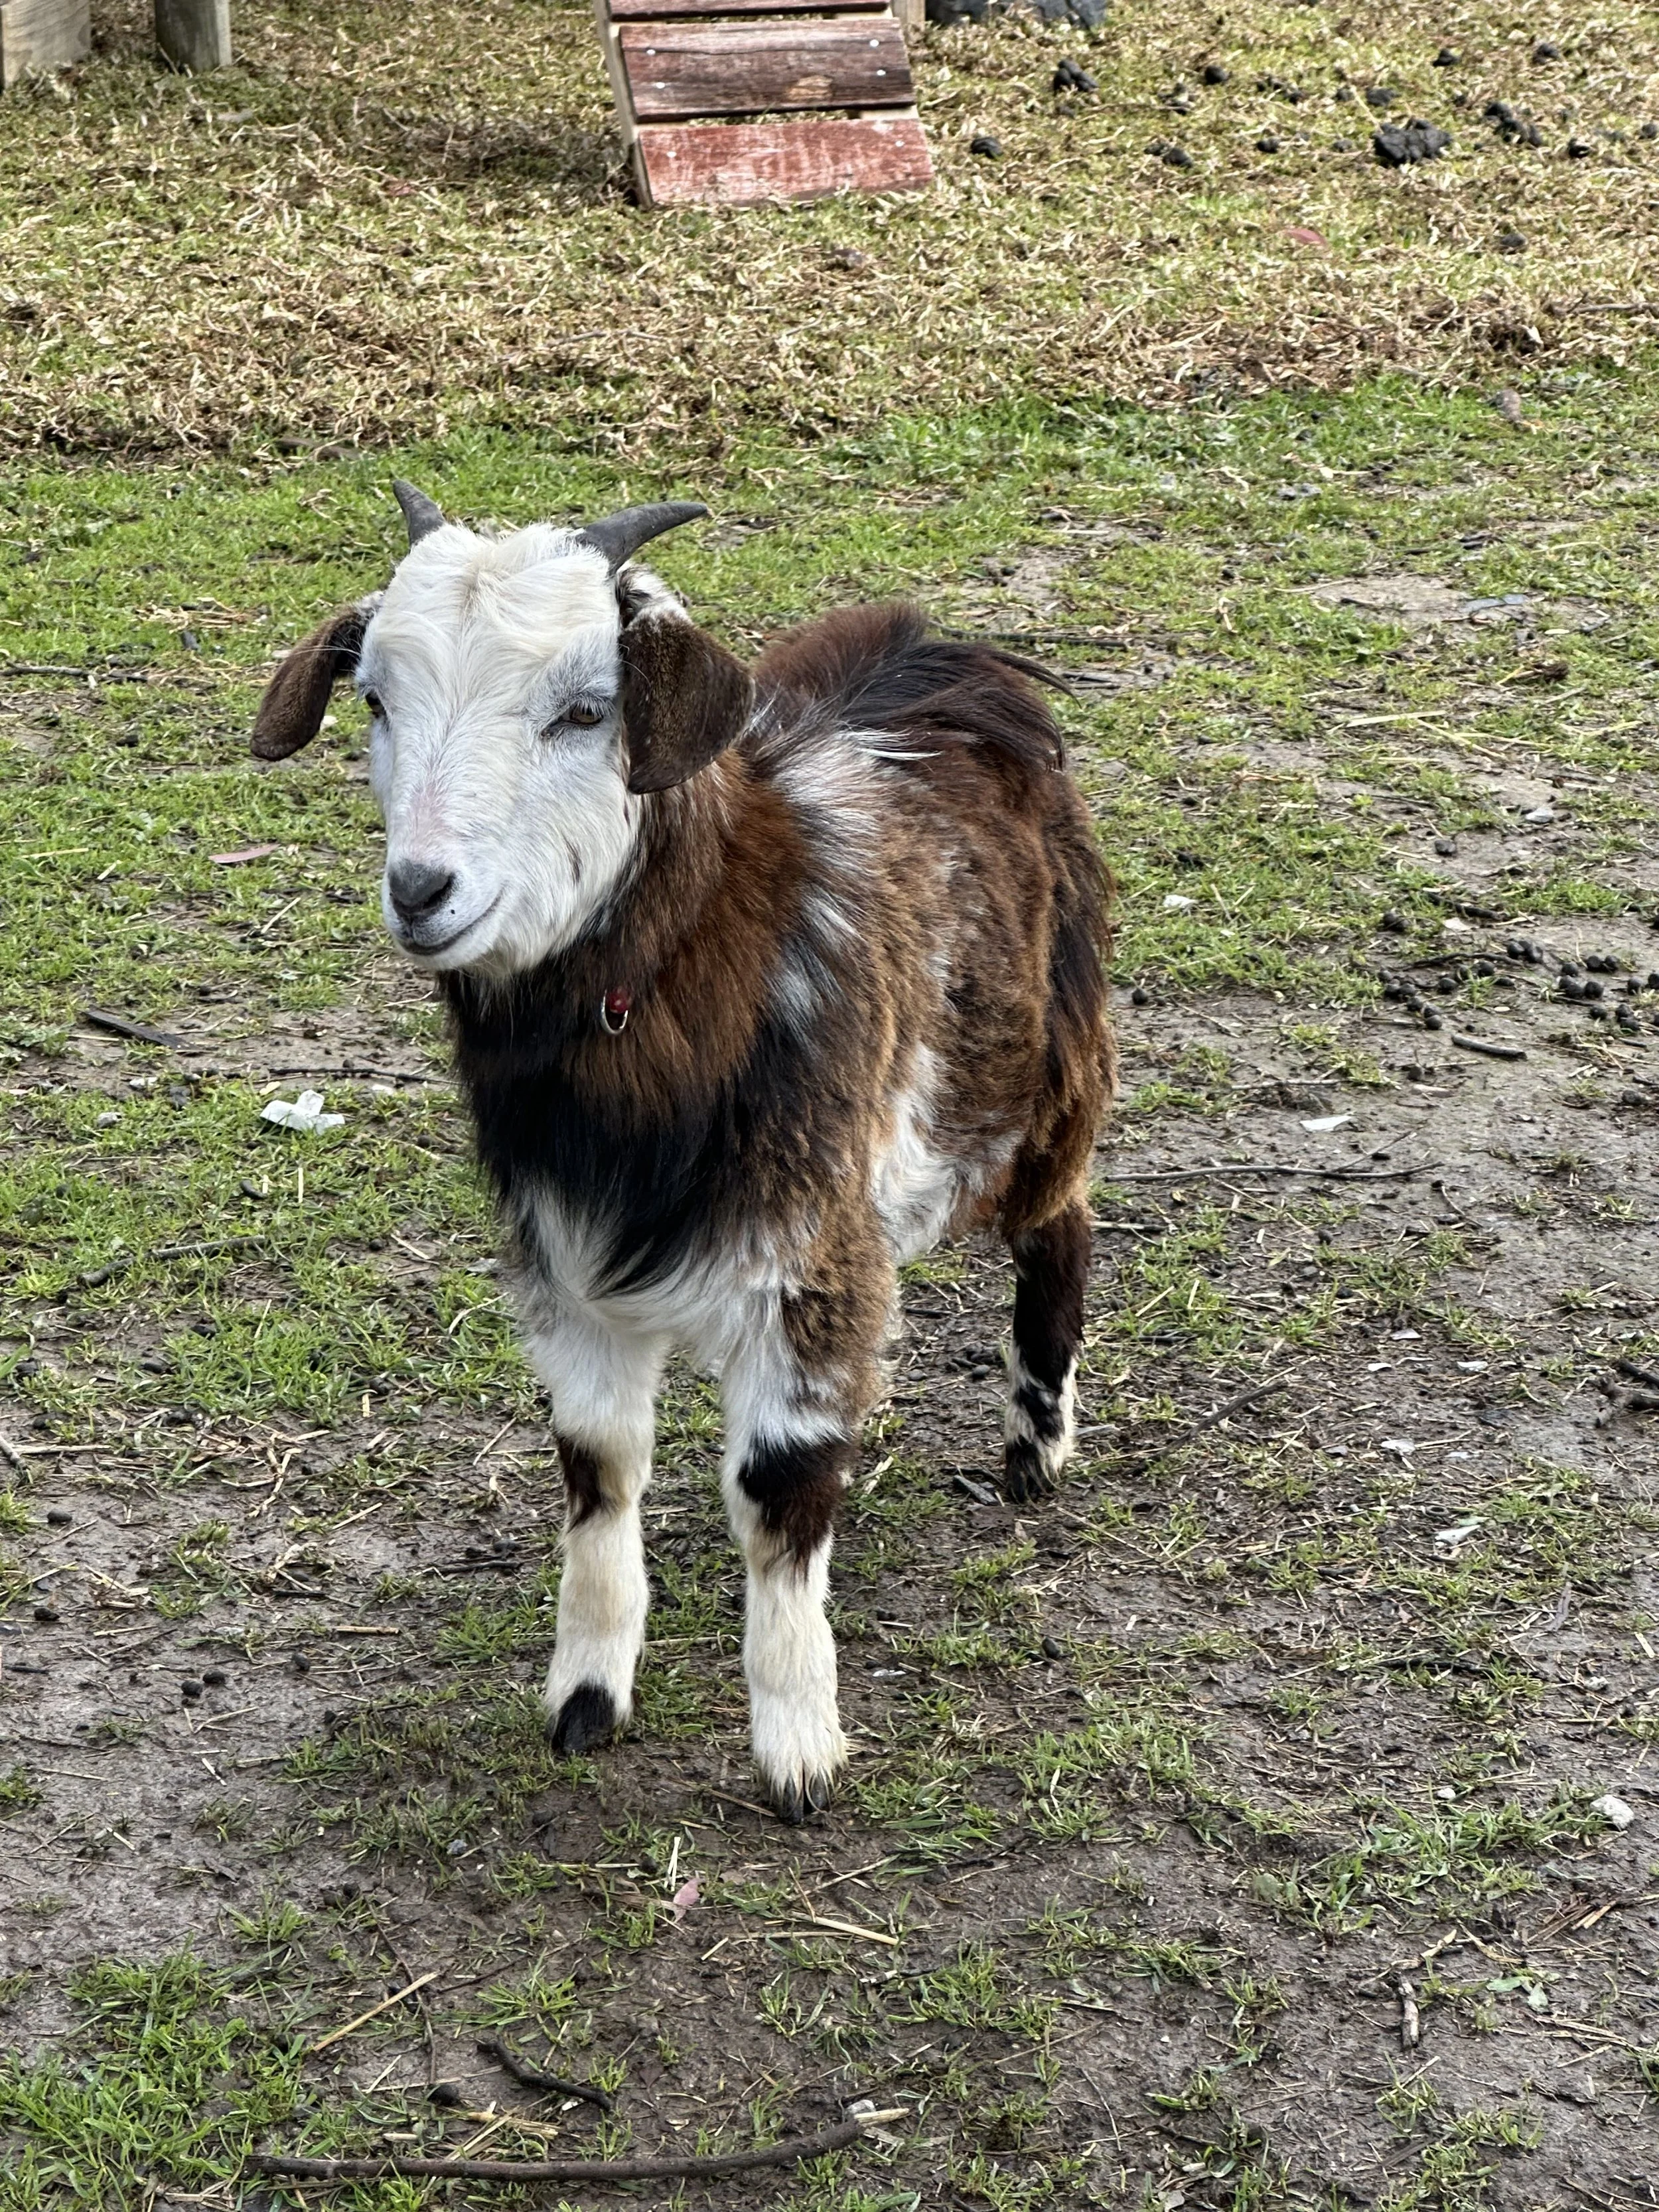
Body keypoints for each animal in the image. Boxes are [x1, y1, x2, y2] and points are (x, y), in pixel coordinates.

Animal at [251, 484, 1114, 1820]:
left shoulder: (803, 1261)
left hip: (1036, 1080)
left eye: (584, 709)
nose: (424, 889)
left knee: (1061, 1220)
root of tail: (951, 664)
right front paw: (587, 1696)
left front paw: (800, 1749)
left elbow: (781, 1491)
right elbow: (600, 1467)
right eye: (377, 698)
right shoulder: (573, 1267)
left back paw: (1038, 1442)